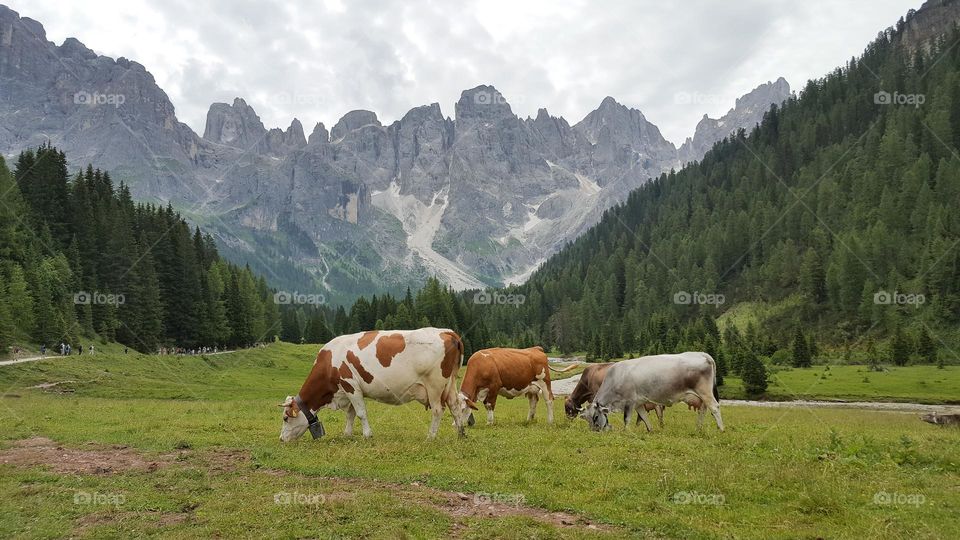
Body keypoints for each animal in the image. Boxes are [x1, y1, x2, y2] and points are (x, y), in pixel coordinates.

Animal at [279, 327, 465, 441]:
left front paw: (367, 435)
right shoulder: (349, 390)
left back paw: (431, 436)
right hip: (450, 384)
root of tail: (446, 331)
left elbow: (360, 413)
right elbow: (351, 414)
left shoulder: (350, 384)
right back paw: (461, 434)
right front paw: (347, 434)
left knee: (438, 410)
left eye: (286, 418)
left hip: (434, 385)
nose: (281, 439)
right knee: (455, 406)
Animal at [582, 352, 723, 433]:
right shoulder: (638, 403)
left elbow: (626, 419)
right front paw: (650, 430)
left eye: (595, 417)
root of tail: (702, 354)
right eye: (588, 419)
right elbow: (644, 416)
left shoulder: (629, 402)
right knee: (703, 409)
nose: (595, 431)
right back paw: (698, 428)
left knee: (714, 407)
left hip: (705, 391)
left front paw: (625, 431)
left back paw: (721, 429)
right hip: (701, 396)